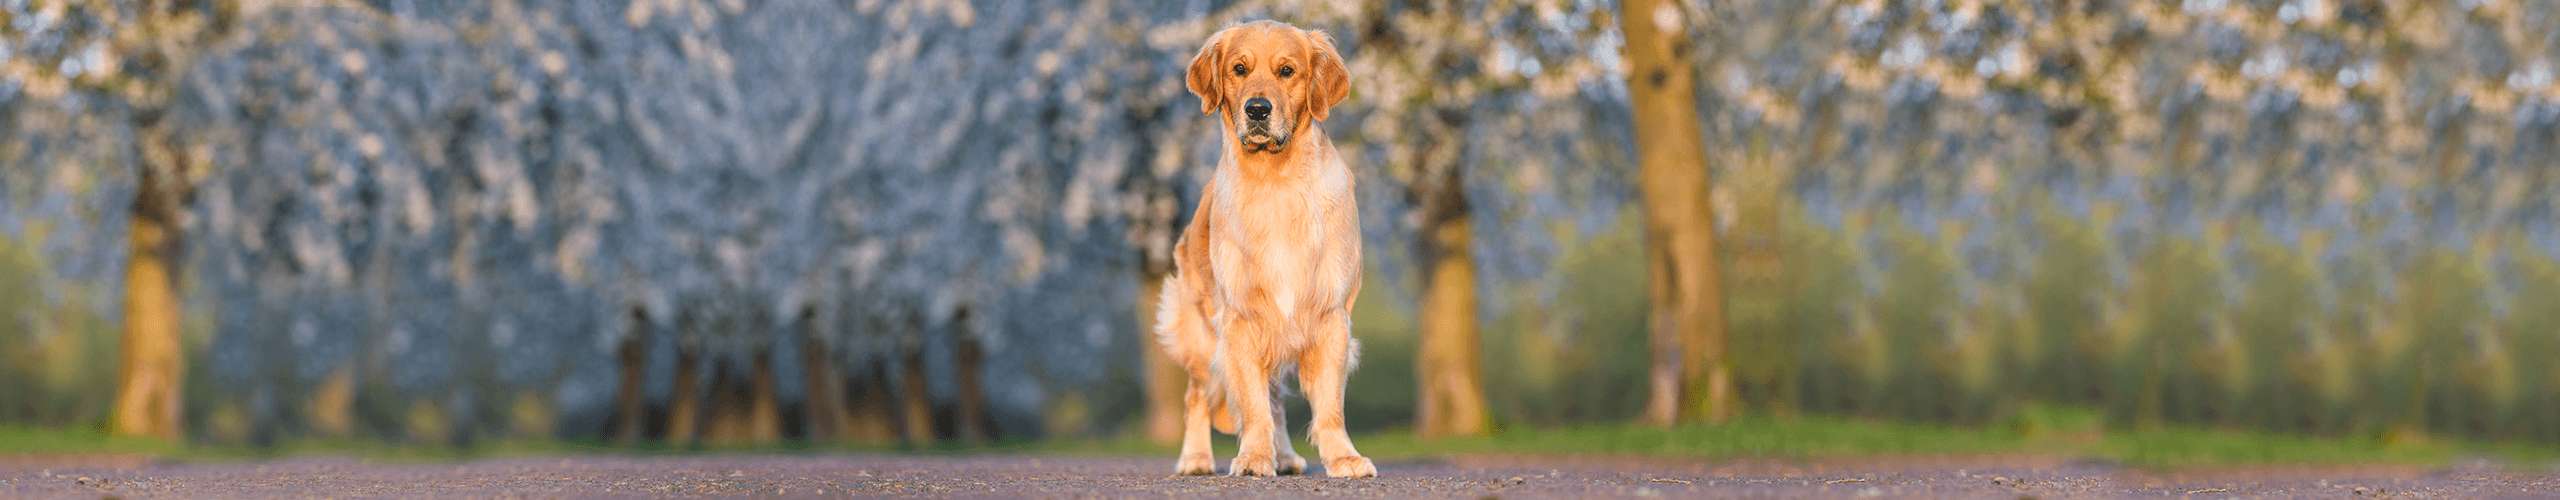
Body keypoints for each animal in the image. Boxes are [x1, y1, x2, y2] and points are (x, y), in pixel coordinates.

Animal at [1152, 20, 1372, 479]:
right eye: (1239, 69)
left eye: (1287, 71)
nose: (1257, 109)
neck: (1277, 183)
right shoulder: (1240, 319)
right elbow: (1252, 406)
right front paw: (1253, 458)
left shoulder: (1330, 316)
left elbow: (1328, 406)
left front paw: (1342, 457)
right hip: (1202, 337)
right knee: (1198, 396)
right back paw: (1196, 459)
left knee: (1275, 401)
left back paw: (1284, 456)